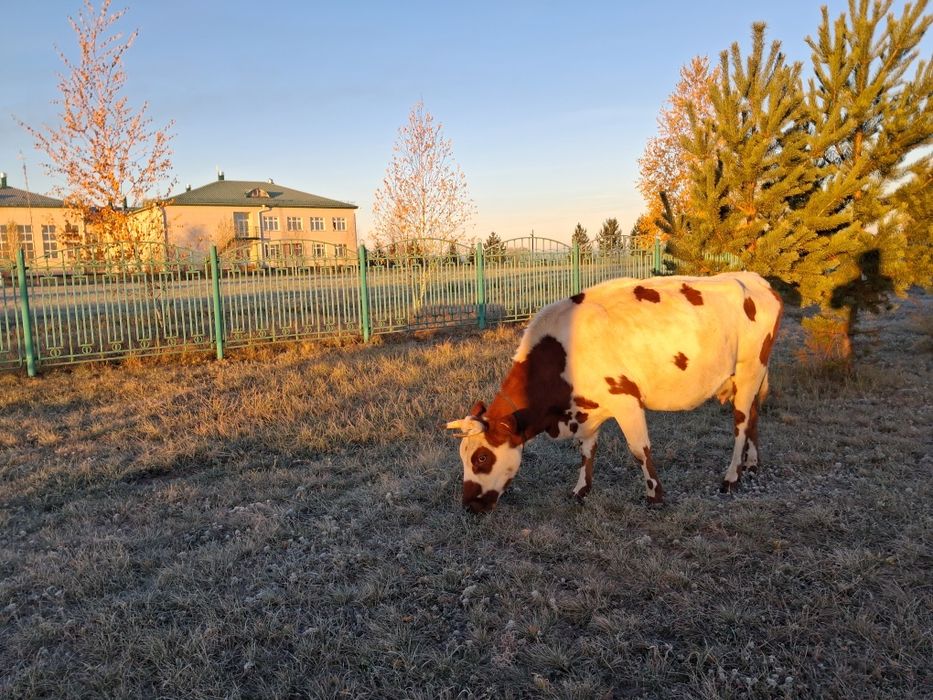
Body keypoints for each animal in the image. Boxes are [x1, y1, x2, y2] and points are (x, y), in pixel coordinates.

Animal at [446, 271, 783, 513]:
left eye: (480, 458)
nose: (468, 505)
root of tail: (758, 280)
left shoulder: (625, 401)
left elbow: (639, 450)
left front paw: (655, 495)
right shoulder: (587, 408)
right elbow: (586, 451)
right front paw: (581, 491)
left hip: (750, 369)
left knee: (740, 423)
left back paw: (732, 476)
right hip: (750, 377)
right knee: (754, 414)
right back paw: (752, 465)